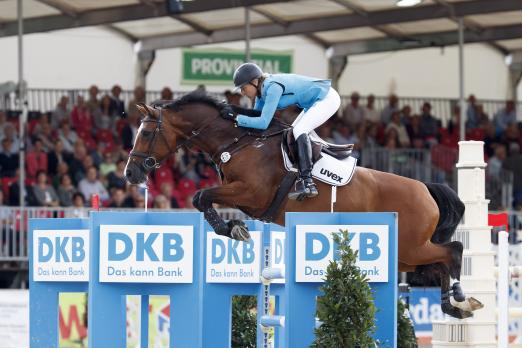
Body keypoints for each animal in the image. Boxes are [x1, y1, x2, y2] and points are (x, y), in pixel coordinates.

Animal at [124, 92, 482, 318]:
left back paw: (459, 299)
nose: (131, 173)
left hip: (410, 246)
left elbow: (202, 196)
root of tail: (425, 188)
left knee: (452, 252)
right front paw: (233, 227)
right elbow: (202, 198)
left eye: (146, 135)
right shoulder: (242, 197)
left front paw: (234, 229)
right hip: (406, 255)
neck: (239, 142)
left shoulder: (250, 193)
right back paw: (454, 306)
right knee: (439, 262)